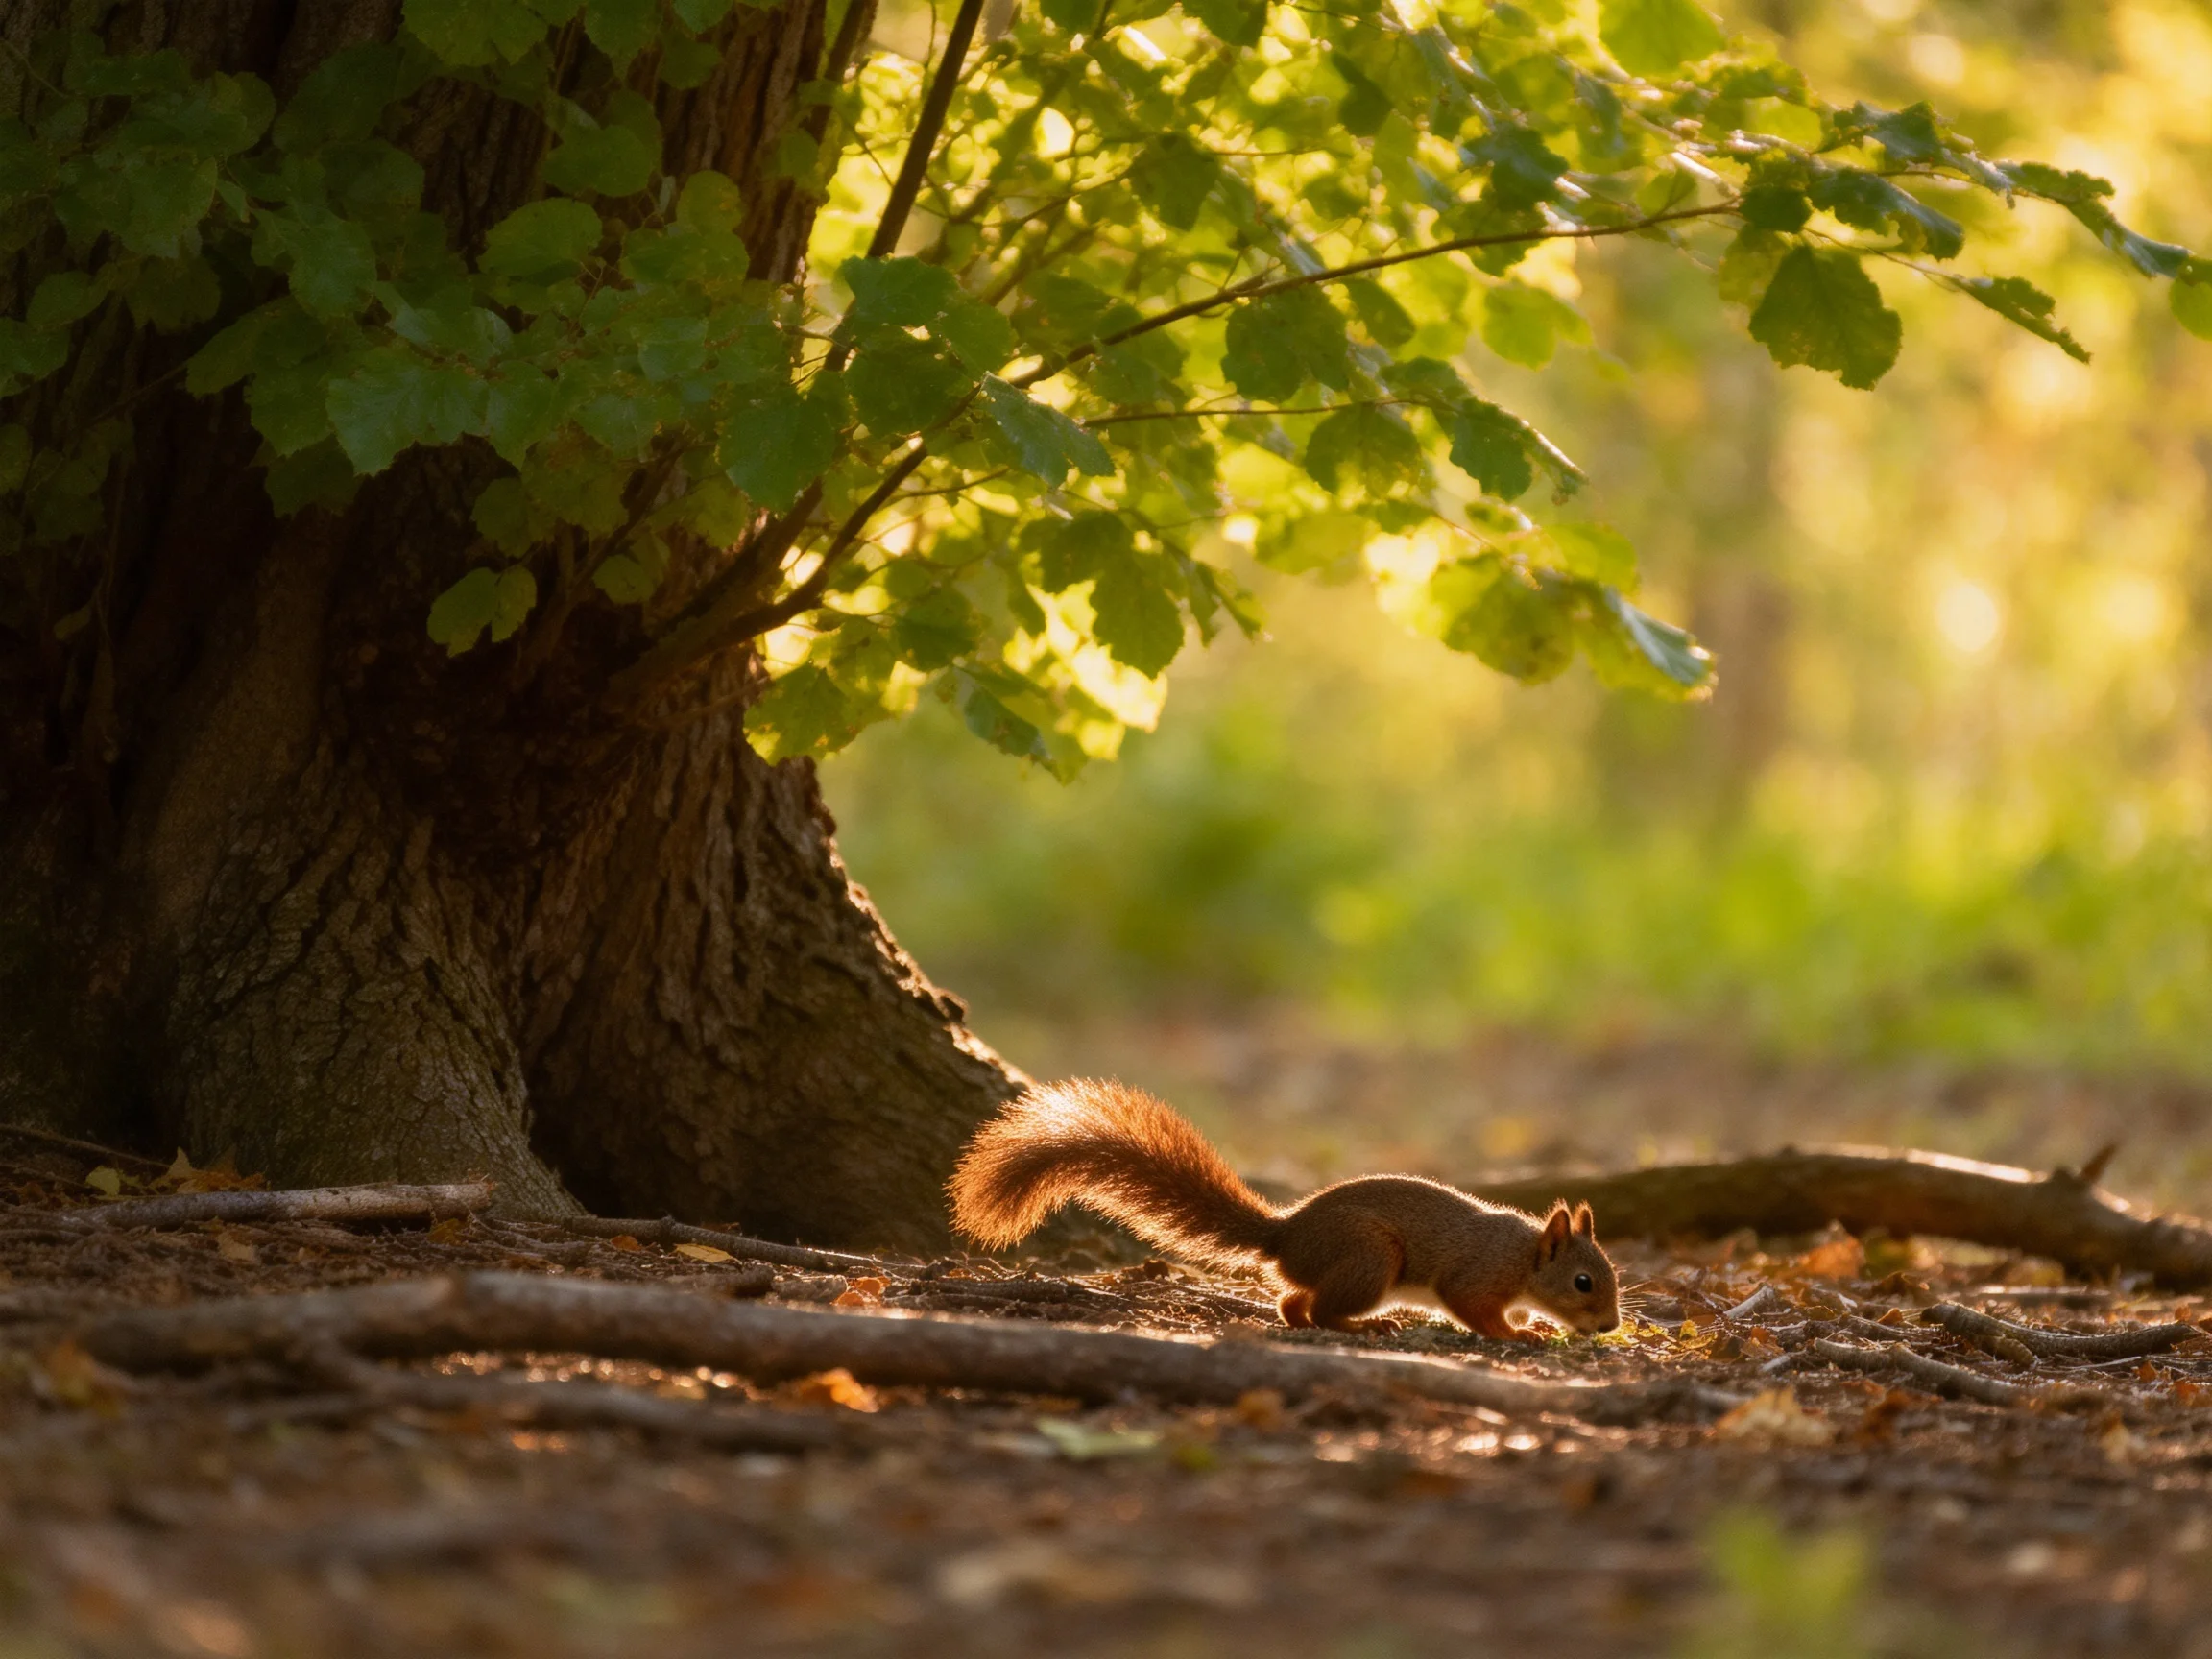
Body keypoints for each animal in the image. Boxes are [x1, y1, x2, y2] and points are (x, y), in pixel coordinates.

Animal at [948, 1078, 1620, 1340]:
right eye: (1584, 1282)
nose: (1612, 1326)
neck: (1525, 1257)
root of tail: (1285, 1235)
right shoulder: (1476, 1275)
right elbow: (1472, 1309)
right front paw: (1519, 1333)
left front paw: (1535, 1326)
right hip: (1371, 1259)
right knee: (1317, 1308)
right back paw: (1365, 1326)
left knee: (1291, 1303)